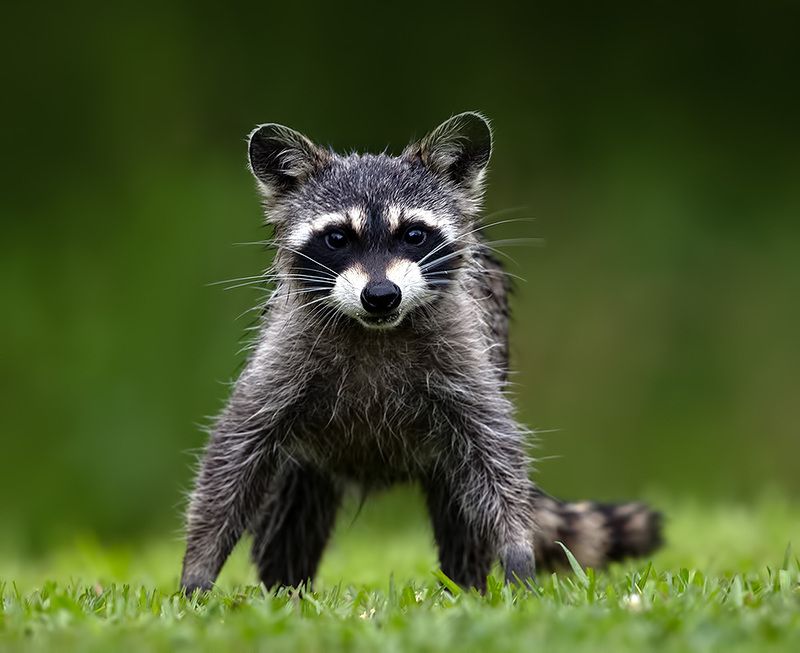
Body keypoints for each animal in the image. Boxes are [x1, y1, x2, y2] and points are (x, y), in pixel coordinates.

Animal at [180, 113, 662, 594]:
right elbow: (234, 452)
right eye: (337, 238)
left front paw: (516, 549)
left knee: (463, 506)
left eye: (413, 234)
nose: (380, 295)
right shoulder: (284, 354)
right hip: (305, 462)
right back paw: (286, 588)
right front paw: (199, 567)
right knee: (290, 514)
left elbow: (495, 455)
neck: (376, 330)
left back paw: (466, 585)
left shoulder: (467, 352)